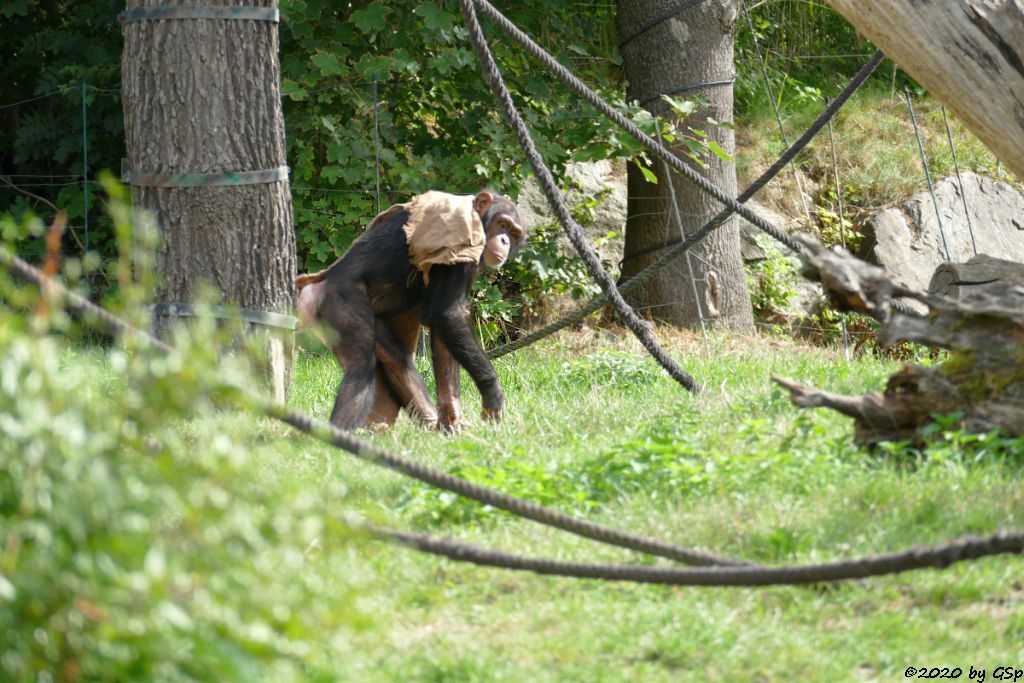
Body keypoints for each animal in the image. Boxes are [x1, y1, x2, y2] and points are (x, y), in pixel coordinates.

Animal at [292, 189, 524, 430]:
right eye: (502, 225)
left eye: (514, 233)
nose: (505, 240)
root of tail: (316, 286)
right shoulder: (462, 235)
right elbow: (448, 313)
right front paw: (492, 394)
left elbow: (444, 327)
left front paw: (452, 419)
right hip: (341, 300)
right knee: (361, 367)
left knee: (397, 359)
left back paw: (422, 420)